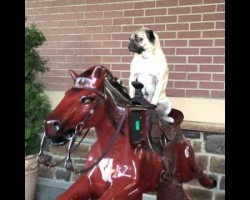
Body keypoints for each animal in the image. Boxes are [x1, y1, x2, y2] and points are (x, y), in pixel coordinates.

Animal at [37, 65, 217, 199]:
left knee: (199, 170)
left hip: (186, 168)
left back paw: (211, 182)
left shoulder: (128, 187)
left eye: (88, 99)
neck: (113, 152)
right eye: (66, 94)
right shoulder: (91, 181)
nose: (50, 125)